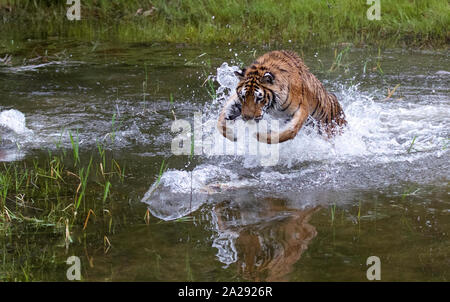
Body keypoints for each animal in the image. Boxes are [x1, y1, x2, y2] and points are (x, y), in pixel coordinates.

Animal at [218, 49, 348, 144]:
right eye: (243, 97)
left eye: (259, 98)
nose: (247, 118)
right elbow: (221, 119)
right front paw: (233, 135)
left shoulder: (302, 109)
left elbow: (288, 132)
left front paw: (260, 136)